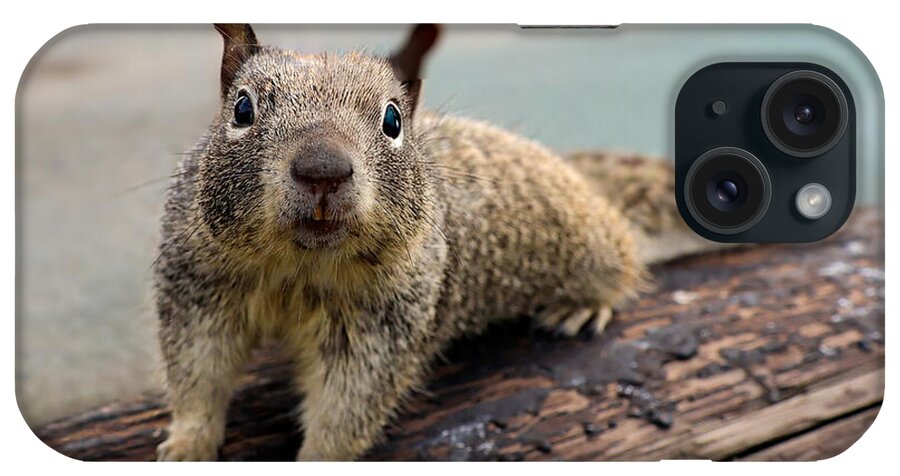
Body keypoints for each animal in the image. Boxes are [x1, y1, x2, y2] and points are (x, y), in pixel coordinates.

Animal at [155, 24, 715, 461]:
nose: (323, 170)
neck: (301, 265)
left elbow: (347, 407)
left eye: (393, 119)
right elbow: (197, 375)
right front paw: (186, 445)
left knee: (623, 259)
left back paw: (583, 305)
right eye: (242, 109)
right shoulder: (199, 289)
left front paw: (316, 457)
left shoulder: (383, 325)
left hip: (592, 243)